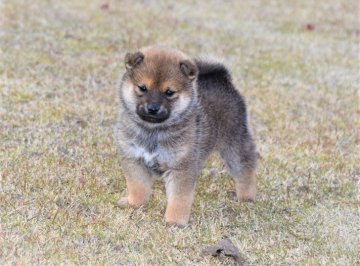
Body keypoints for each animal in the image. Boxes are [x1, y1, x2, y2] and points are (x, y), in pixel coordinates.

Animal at [114, 46, 258, 225]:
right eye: (142, 88)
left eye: (169, 92)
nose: (153, 108)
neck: (153, 131)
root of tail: (222, 79)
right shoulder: (133, 159)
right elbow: (138, 187)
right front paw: (134, 204)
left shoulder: (181, 167)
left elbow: (179, 198)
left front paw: (175, 221)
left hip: (234, 143)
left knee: (246, 168)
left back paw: (246, 196)